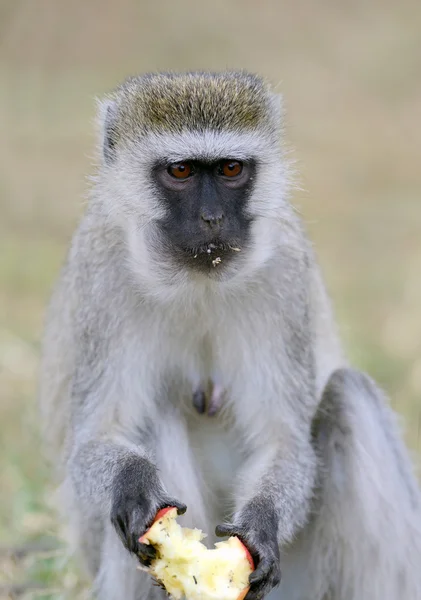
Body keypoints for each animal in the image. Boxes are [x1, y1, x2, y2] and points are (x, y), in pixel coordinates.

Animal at [39, 71, 420, 600]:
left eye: (231, 169)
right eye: (180, 171)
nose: (212, 219)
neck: (199, 279)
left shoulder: (285, 271)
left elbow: (284, 439)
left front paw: (261, 524)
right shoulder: (103, 271)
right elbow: (96, 438)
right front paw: (133, 484)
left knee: (349, 394)